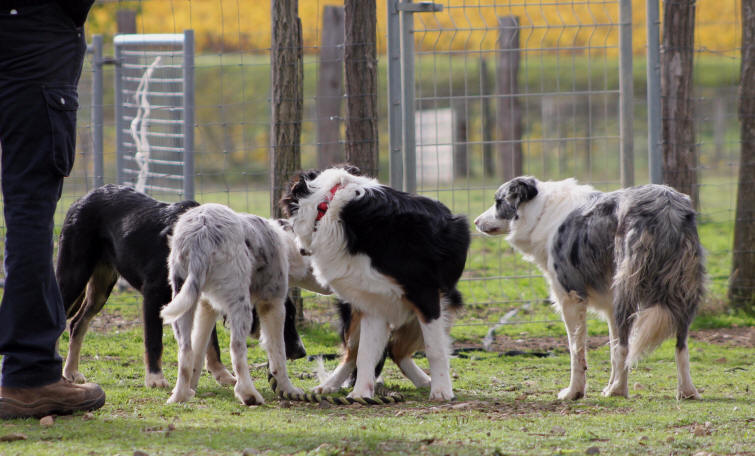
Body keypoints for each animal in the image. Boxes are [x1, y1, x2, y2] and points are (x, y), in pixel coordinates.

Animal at [56, 186, 308, 392]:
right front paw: (155, 379)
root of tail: (82, 198)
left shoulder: (201, 299)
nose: (302, 352)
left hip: (101, 286)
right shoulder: (153, 296)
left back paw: (71, 371)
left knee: (77, 323)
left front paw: (221, 373)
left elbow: (211, 343)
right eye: (287, 318)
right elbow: (154, 341)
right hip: (73, 275)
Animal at [161, 203, 330, 406]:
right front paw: (288, 389)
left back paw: (179, 395)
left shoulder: (206, 307)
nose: (302, 353)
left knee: (185, 350)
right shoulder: (273, 305)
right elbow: (278, 354)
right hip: (240, 306)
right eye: (291, 317)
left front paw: (192, 386)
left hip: (182, 302)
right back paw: (249, 394)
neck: (286, 243)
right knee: (237, 349)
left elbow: (198, 349)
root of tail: (201, 234)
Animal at [284, 165, 472, 400]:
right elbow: (365, 353)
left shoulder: (425, 295)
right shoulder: (372, 301)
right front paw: (360, 394)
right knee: (360, 353)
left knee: (397, 351)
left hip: (443, 306)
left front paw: (441, 391)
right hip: (354, 310)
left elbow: (435, 350)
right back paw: (329, 385)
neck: (329, 206)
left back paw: (426, 381)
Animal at [476, 177, 704, 400]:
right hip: (683, 295)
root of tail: (667, 207)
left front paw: (575, 392)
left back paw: (618, 390)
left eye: (498, 201)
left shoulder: (571, 298)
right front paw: (608, 385)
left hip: (626, 293)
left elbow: (577, 351)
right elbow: (613, 350)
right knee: (680, 346)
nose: (476, 221)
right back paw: (686, 391)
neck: (541, 211)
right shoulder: (610, 305)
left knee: (626, 346)